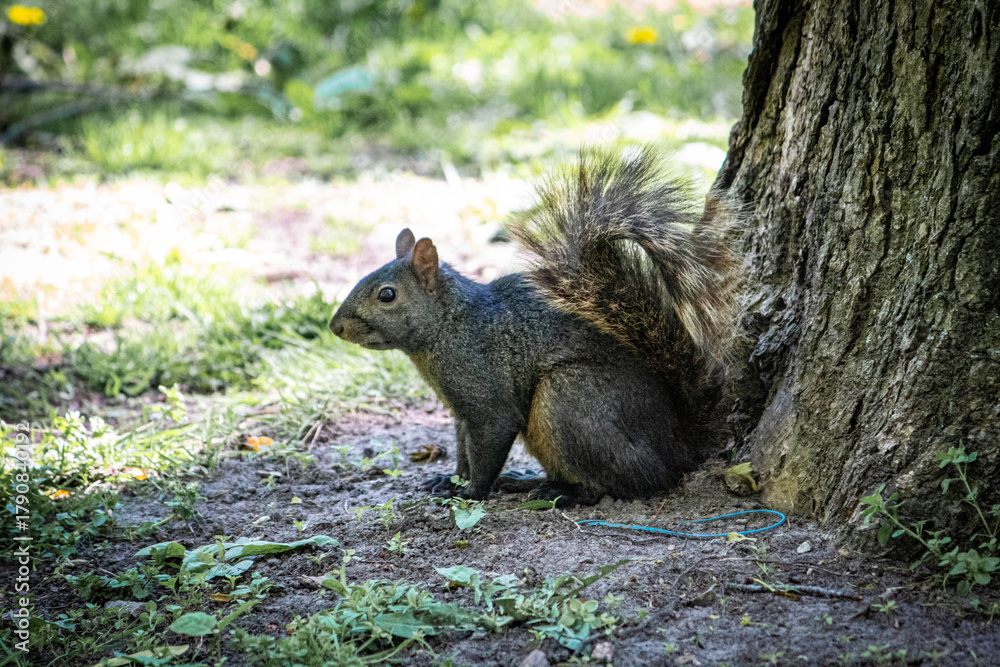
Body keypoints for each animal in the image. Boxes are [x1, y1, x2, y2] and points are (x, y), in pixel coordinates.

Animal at [329, 145, 740, 505]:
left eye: (387, 295)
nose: (336, 327)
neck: (450, 325)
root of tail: (678, 445)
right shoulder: (461, 412)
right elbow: (463, 451)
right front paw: (450, 480)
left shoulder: (486, 400)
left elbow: (487, 447)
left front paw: (470, 493)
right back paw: (525, 480)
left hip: (569, 400)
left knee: (625, 483)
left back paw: (565, 494)